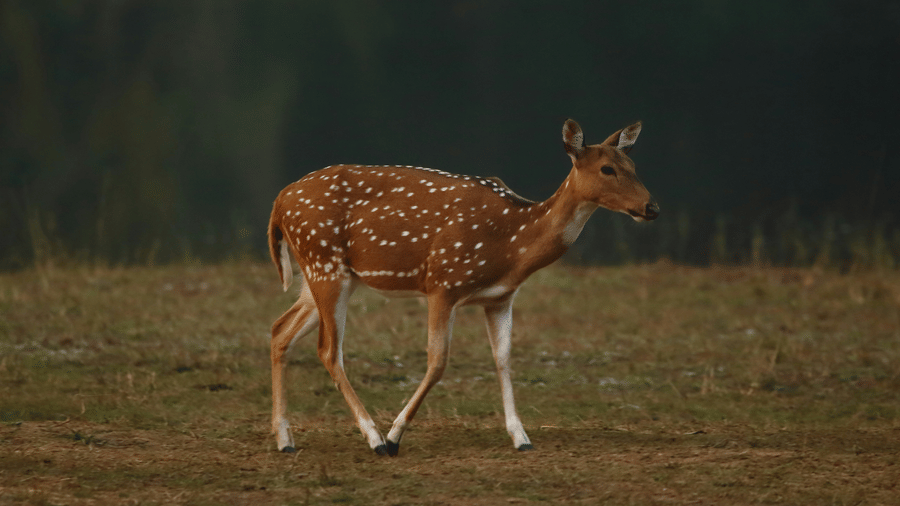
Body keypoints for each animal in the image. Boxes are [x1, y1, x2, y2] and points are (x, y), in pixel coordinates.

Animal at [267, 119, 658, 456]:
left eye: (632, 164)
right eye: (607, 168)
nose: (651, 207)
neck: (513, 245)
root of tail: (279, 202)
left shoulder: (500, 298)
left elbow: (503, 359)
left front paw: (521, 437)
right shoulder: (442, 282)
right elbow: (438, 361)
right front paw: (395, 436)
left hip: (322, 275)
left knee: (280, 330)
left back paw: (285, 440)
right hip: (325, 263)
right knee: (328, 349)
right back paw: (374, 438)